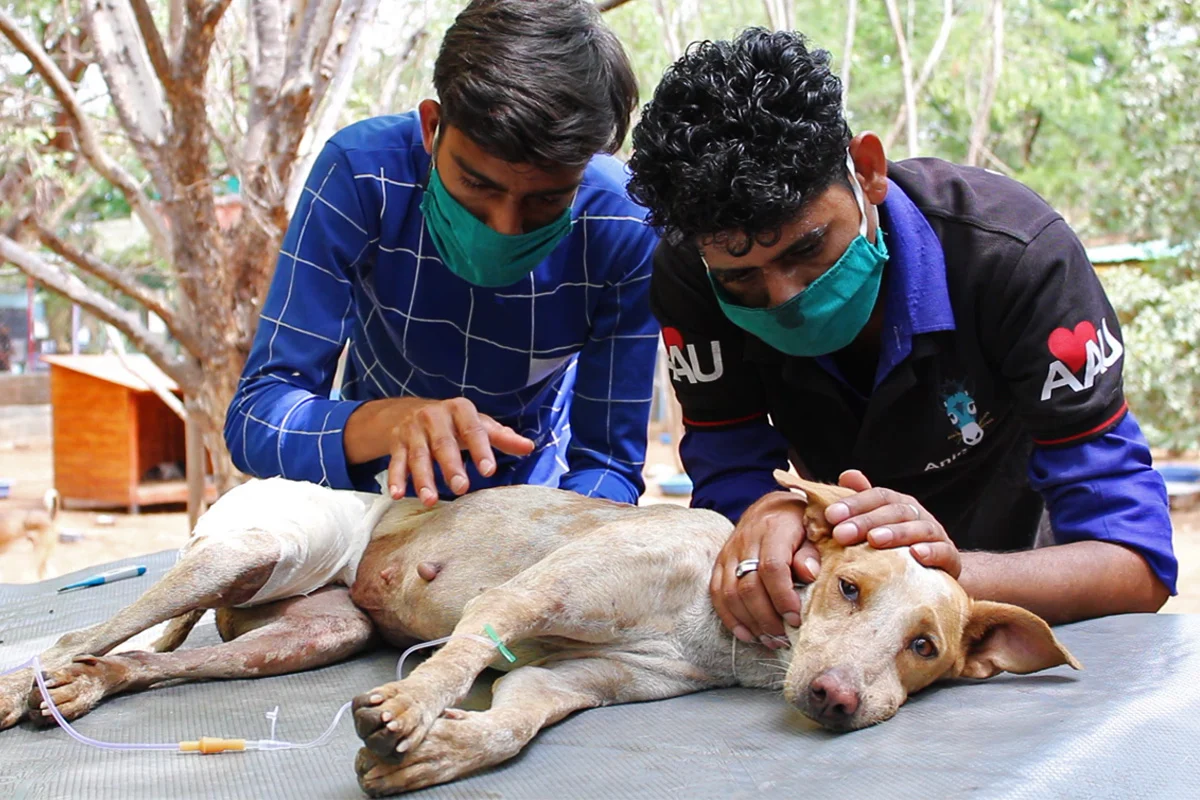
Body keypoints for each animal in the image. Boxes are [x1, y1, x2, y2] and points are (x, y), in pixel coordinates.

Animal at [0, 473, 1078, 796]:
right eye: (849, 587)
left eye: (923, 647)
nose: (838, 698)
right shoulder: (530, 596)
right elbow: (465, 653)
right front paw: (411, 704)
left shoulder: (575, 680)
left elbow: (509, 723)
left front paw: (439, 748)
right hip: (242, 549)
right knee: (88, 629)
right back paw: (29, 682)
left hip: (303, 635)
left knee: (144, 660)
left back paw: (86, 689)